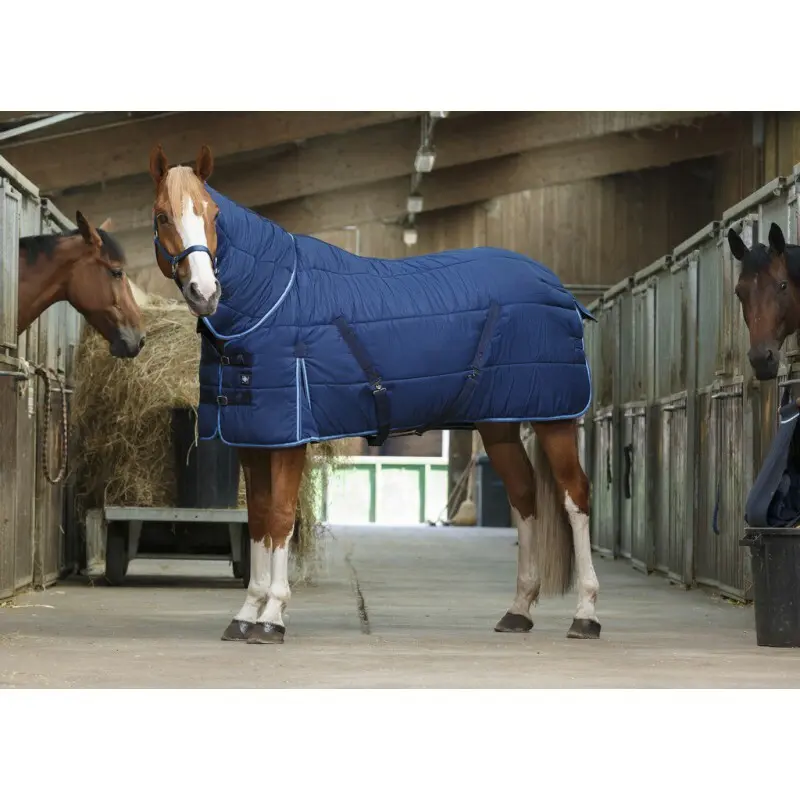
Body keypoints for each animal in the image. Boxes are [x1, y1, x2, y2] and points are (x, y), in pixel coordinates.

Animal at [148, 143, 602, 645]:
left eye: (212, 213)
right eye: (163, 215)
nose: (204, 292)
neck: (273, 298)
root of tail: (559, 289)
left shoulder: (289, 438)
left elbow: (282, 517)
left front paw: (272, 618)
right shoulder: (252, 437)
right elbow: (260, 520)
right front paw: (246, 613)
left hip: (555, 417)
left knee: (575, 496)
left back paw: (585, 614)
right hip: (499, 424)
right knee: (524, 496)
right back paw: (518, 610)